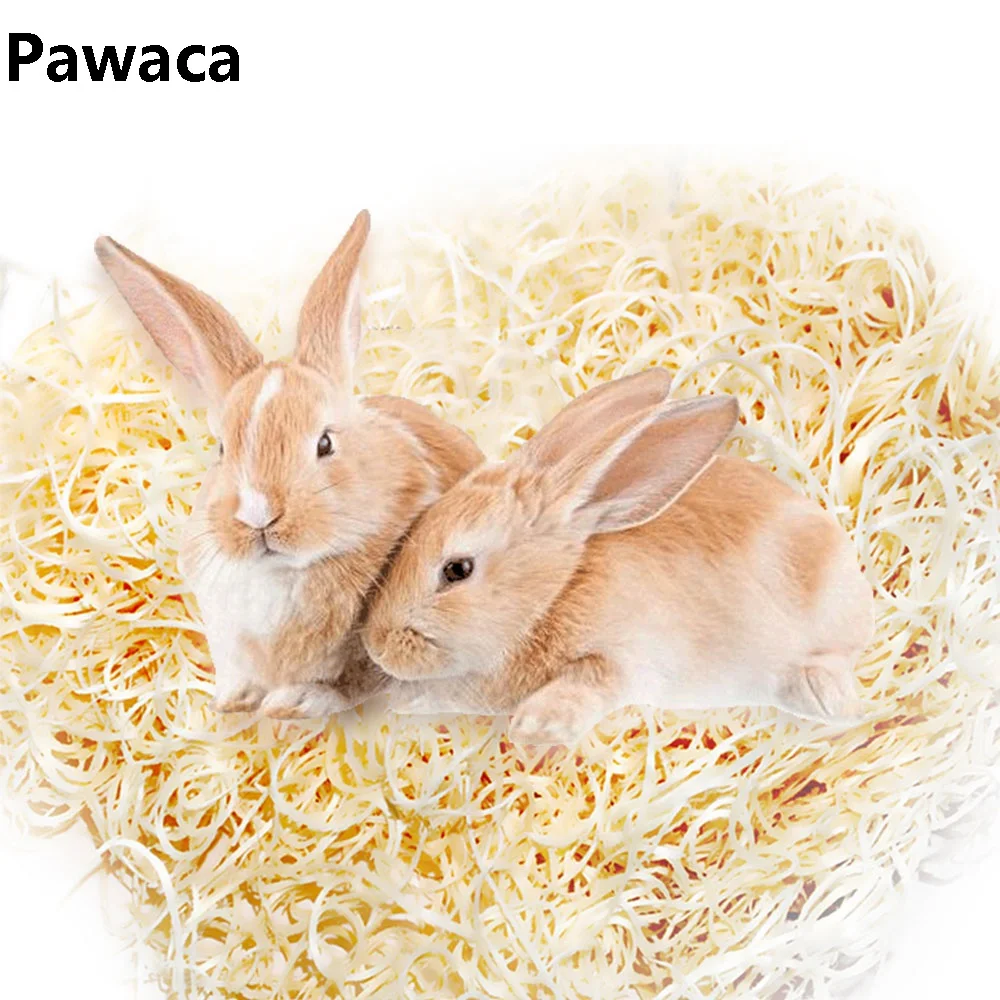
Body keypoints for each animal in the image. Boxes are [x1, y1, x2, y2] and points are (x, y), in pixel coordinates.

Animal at [95, 210, 484, 719]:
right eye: (222, 449)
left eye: (325, 443)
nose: (258, 514)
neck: (282, 573)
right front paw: (232, 703)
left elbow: (353, 680)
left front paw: (294, 703)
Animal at [362, 368, 876, 745]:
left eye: (457, 570)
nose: (378, 647)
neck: (554, 592)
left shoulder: (627, 654)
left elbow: (591, 682)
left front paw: (536, 727)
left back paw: (826, 698)